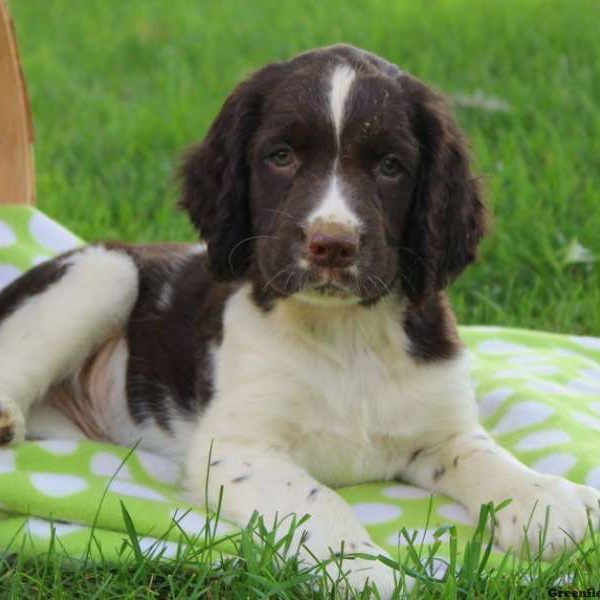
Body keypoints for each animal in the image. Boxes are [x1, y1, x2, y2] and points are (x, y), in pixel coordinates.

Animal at [1, 45, 600, 596]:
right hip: (108, 270)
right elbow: (319, 500)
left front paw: (542, 498)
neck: (348, 333)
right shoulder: (236, 449)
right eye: (281, 156)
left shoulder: (438, 430)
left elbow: (482, 454)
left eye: (390, 167)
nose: (331, 244)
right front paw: (362, 570)